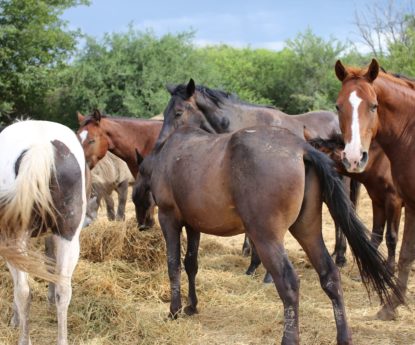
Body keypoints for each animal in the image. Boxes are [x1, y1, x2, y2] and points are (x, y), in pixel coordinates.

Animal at [0, 119, 88, 344]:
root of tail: (41, 146)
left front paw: (15, 319)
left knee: (23, 291)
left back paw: (24, 338)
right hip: (69, 236)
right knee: (63, 290)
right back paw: (62, 339)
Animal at [308, 134, 404, 272]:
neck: (382, 162)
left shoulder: (394, 202)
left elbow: (391, 237)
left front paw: (390, 269)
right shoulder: (378, 202)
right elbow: (376, 236)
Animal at [334, 58, 415, 320]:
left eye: (373, 106)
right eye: (338, 106)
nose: (353, 158)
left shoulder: (396, 202)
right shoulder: (409, 204)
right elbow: (405, 254)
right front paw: (392, 304)